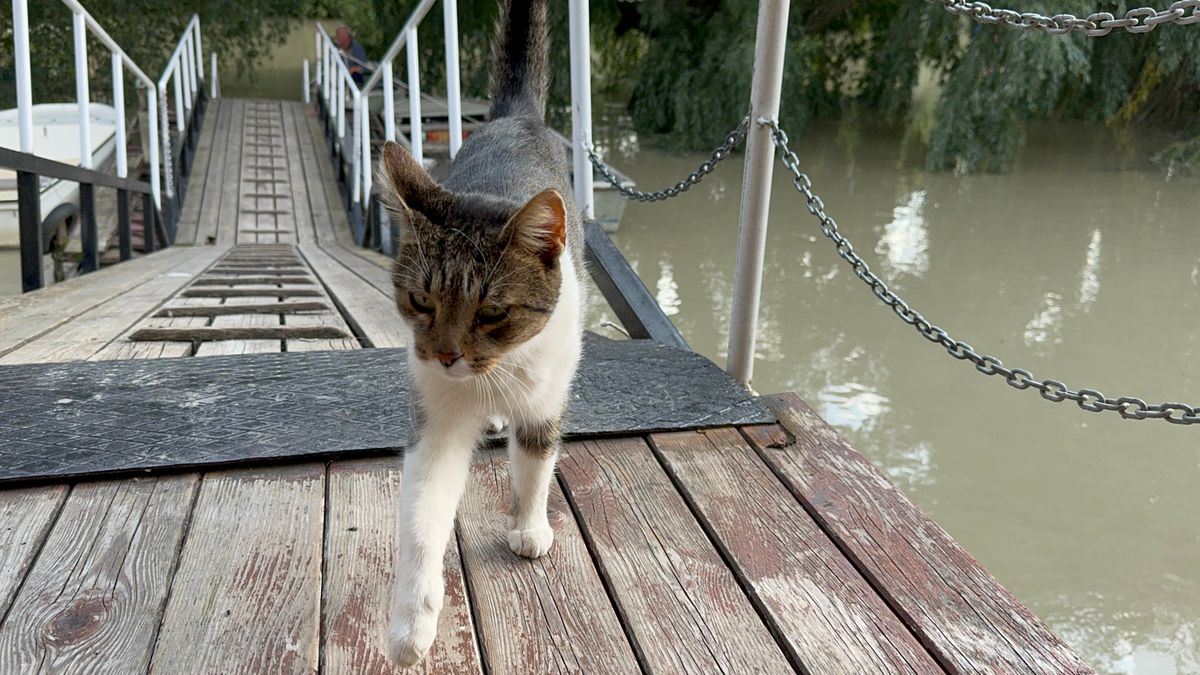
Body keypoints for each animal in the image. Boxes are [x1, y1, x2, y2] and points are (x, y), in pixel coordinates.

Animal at [376, 0, 578, 662]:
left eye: (491, 312)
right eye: (420, 300)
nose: (444, 356)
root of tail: (516, 118)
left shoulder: (545, 398)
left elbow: (535, 464)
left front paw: (529, 527)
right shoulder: (433, 423)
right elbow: (422, 521)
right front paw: (411, 624)